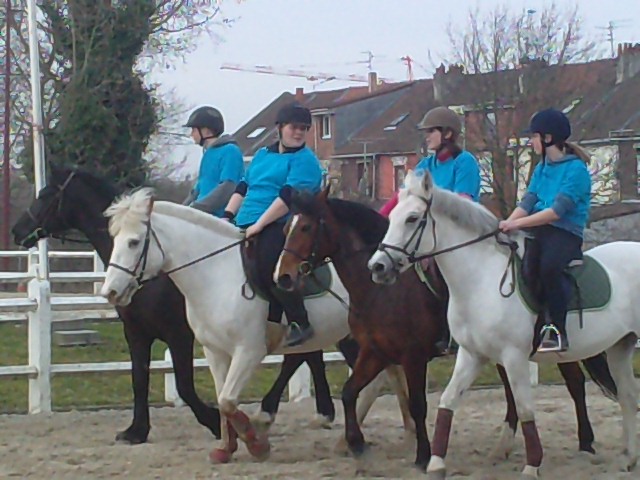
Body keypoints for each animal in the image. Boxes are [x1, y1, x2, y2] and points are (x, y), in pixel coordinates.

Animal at [97, 190, 412, 464]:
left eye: (134, 242)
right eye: (114, 239)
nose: (110, 291)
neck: (216, 275)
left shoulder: (247, 351)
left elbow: (227, 400)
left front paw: (255, 442)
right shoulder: (213, 350)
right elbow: (222, 398)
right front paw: (226, 447)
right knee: (384, 378)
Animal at [274, 189, 616, 470]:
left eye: (305, 227)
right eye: (286, 229)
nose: (283, 277)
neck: (381, 292)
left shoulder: (412, 356)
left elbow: (417, 404)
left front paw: (423, 455)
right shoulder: (375, 351)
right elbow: (348, 393)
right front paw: (358, 445)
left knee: (574, 383)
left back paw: (585, 443)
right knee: (513, 392)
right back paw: (503, 448)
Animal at [364, 171, 640, 478]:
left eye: (412, 218)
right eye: (392, 217)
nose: (377, 267)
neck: (481, 279)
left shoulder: (513, 357)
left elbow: (524, 409)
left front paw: (532, 465)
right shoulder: (472, 354)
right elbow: (448, 401)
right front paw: (436, 463)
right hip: (620, 346)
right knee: (628, 397)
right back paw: (629, 459)